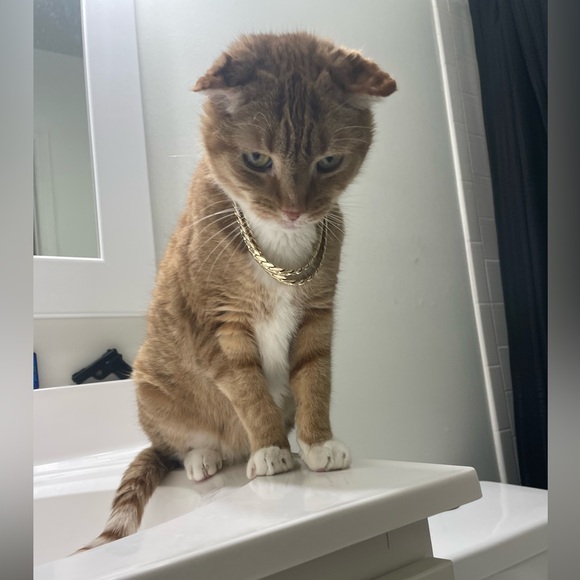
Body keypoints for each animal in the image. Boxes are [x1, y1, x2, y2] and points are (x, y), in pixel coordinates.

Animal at [80, 31, 396, 551]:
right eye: (257, 159)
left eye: (328, 161)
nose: (294, 211)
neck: (279, 244)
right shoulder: (220, 325)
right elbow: (250, 393)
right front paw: (270, 449)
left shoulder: (316, 316)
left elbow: (315, 380)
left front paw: (315, 443)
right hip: (151, 386)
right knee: (175, 447)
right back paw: (204, 458)